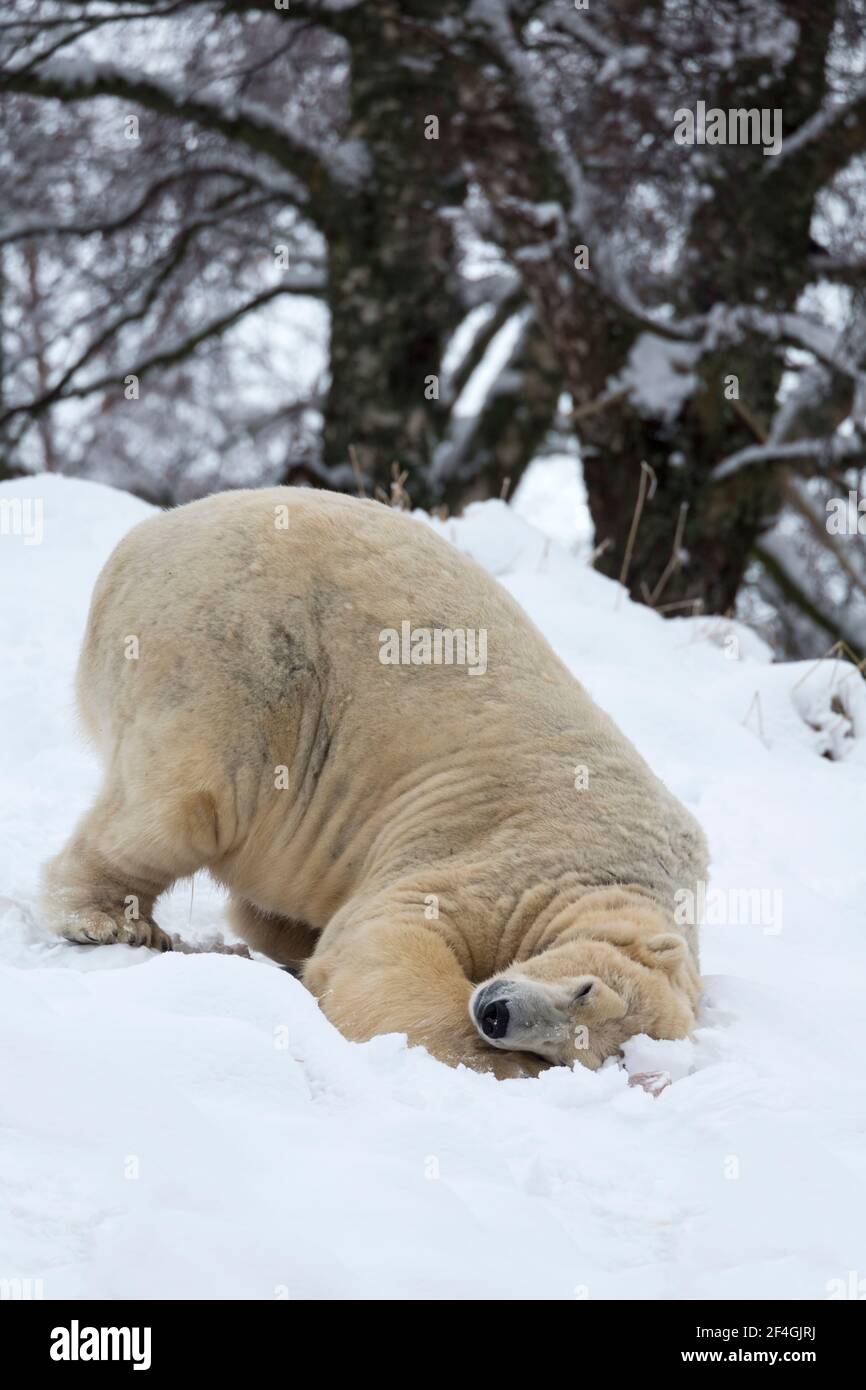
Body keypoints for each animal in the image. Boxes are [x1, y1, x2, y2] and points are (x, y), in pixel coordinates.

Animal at [40, 483, 708, 1078]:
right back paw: (109, 920)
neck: (627, 873)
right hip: (234, 653)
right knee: (187, 803)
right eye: (586, 989)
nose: (496, 1013)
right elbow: (391, 937)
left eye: (568, 1051)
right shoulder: (518, 861)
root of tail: (141, 539)